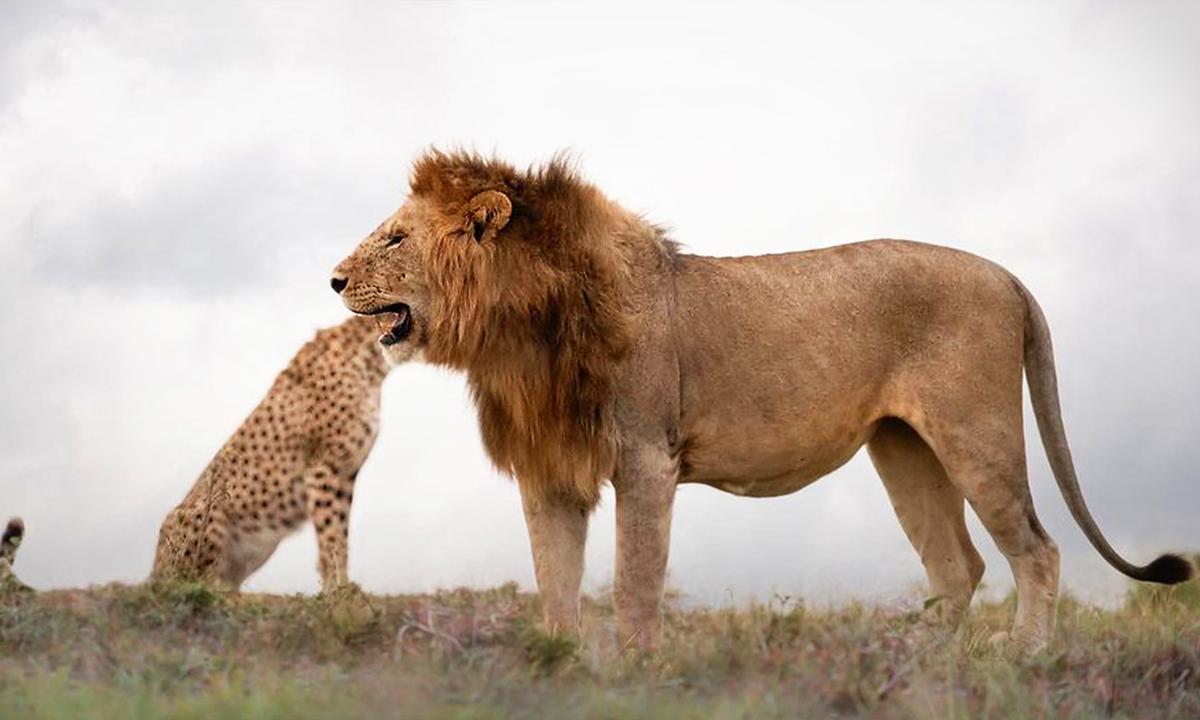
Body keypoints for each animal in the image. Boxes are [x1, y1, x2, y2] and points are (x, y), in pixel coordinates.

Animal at [331, 151, 1192, 653]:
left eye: (396, 238)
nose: (334, 279)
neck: (520, 332)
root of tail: (1008, 275)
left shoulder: (646, 458)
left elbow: (634, 581)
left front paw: (632, 672)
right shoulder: (551, 476)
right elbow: (556, 585)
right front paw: (559, 664)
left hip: (975, 435)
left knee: (1037, 552)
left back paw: (1023, 659)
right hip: (902, 448)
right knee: (960, 567)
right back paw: (919, 662)